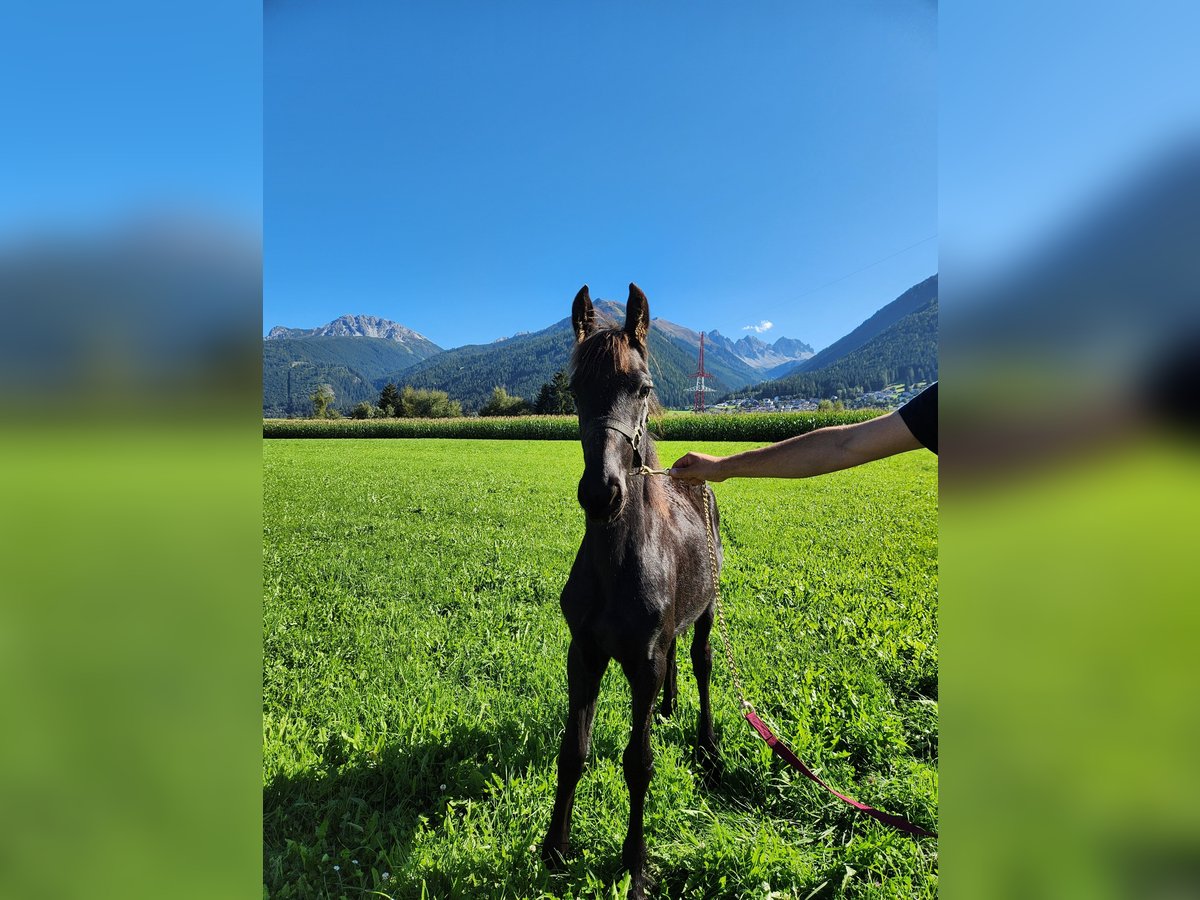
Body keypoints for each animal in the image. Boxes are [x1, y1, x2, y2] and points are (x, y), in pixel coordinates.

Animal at [541, 283, 723, 900]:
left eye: (642, 388)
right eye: (575, 389)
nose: (602, 494)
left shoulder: (643, 661)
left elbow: (637, 763)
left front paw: (636, 864)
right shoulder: (585, 654)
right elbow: (573, 750)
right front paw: (554, 847)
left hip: (708, 613)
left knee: (701, 664)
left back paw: (708, 745)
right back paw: (670, 709)